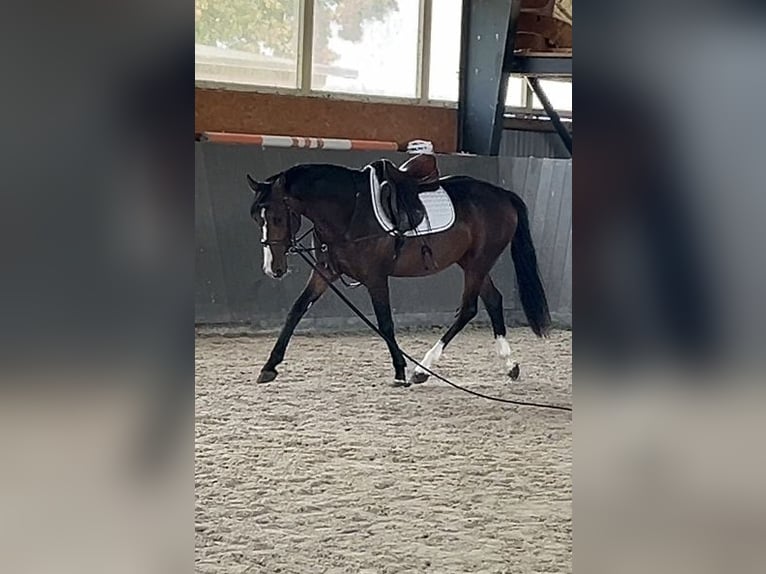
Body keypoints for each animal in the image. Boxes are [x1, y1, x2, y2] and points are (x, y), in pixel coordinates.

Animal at [247, 160, 551, 386]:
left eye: (276, 218)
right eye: (256, 219)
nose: (273, 269)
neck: (349, 210)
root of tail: (503, 195)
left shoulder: (375, 278)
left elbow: (385, 323)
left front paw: (400, 371)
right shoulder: (325, 272)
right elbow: (296, 311)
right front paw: (269, 366)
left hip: (478, 263)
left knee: (468, 309)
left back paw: (422, 370)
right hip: (472, 263)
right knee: (493, 301)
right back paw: (510, 365)